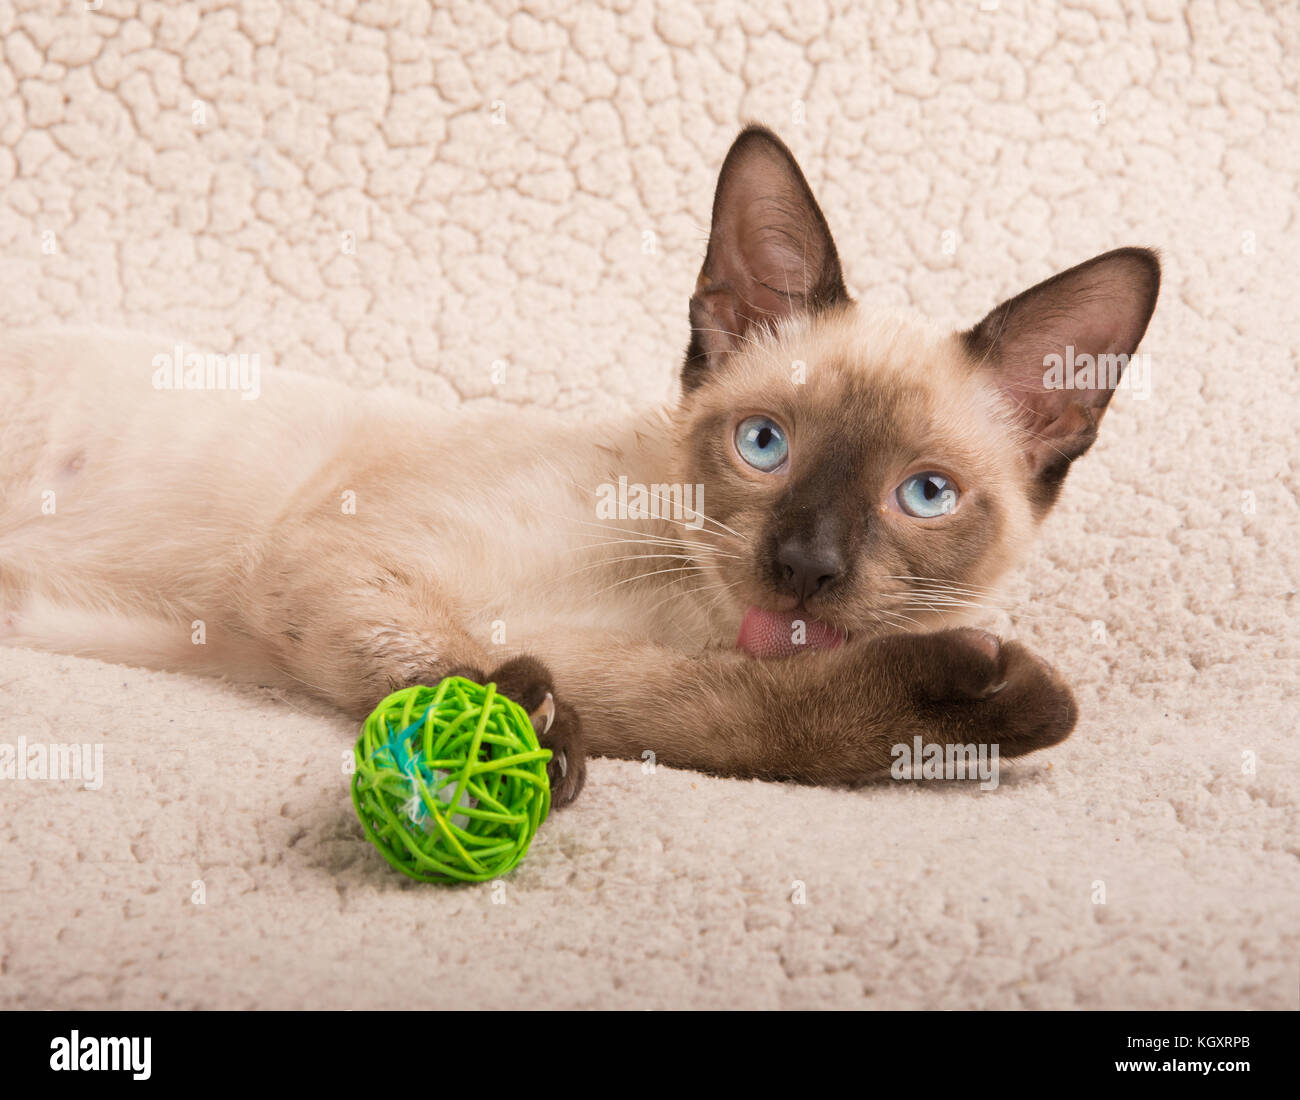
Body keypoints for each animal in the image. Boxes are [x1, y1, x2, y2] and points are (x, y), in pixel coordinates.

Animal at [0, 124, 1159, 811]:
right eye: (764, 444)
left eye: (923, 495)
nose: (805, 567)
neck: (679, 603)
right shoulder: (339, 562)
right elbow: (441, 660)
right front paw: (493, 748)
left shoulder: (591, 655)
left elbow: (712, 716)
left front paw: (964, 714)